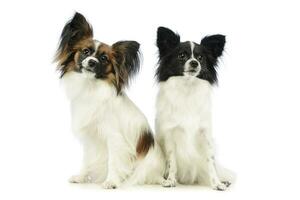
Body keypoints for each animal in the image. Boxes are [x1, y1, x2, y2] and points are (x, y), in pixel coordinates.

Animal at [55, 12, 165, 189]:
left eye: (104, 58)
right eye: (85, 51)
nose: (92, 62)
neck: (91, 87)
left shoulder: (114, 138)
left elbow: (113, 162)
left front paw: (111, 182)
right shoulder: (90, 140)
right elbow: (87, 160)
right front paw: (81, 177)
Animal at [154, 26, 233, 191]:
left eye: (200, 58)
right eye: (182, 56)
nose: (194, 63)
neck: (187, 87)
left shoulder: (205, 134)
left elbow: (210, 161)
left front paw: (216, 183)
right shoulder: (170, 134)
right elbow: (172, 161)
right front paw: (170, 180)